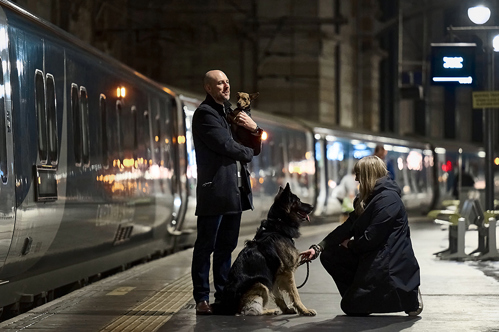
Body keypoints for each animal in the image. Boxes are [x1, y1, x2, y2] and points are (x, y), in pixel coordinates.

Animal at [211, 184, 316, 316]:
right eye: (298, 201)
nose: (312, 206)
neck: (278, 226)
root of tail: (226, 306)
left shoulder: (275, 275)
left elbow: (279, 296)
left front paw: (286, 309)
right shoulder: (287, 272)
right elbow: (295, 294)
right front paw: (304, 310)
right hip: (260, 284)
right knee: (248, 311)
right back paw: (269, 310)